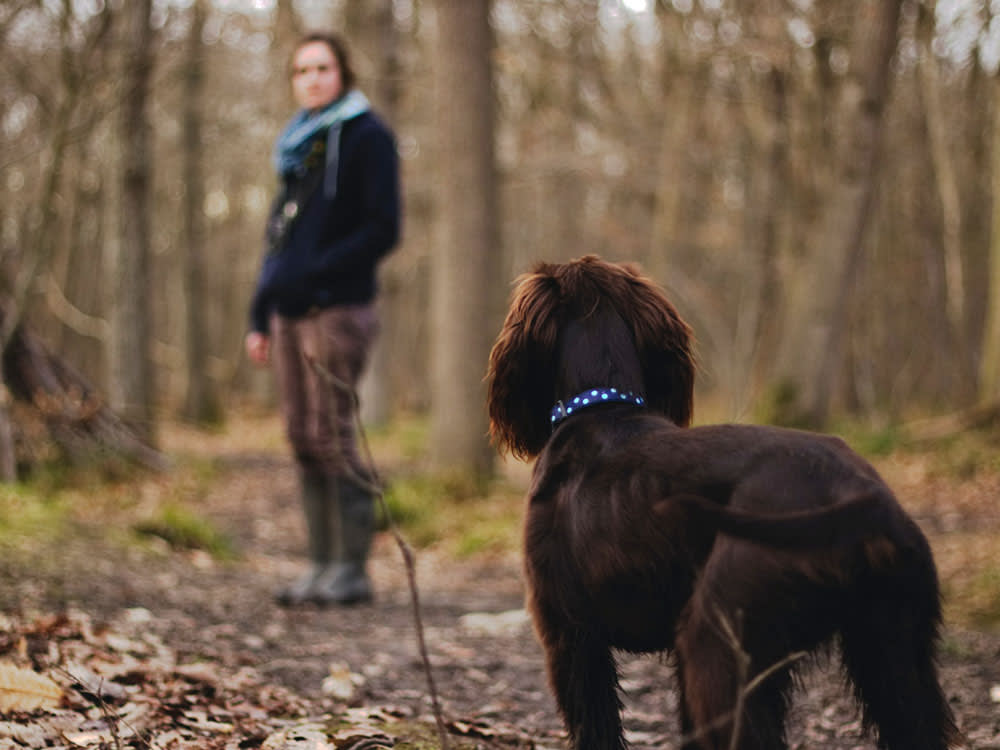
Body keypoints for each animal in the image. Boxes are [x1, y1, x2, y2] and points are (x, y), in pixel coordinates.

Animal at [484, 258, 960, 750]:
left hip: (717, 646)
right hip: (894, 651)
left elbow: (596, 730)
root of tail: (861, 502)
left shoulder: (571, 635)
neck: (601, 410)